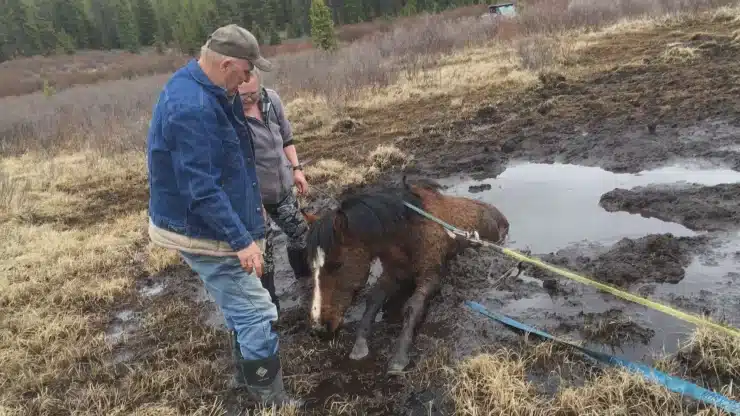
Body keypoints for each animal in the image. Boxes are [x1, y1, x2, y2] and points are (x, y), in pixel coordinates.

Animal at [301, 177, 510, 375]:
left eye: (337, 264)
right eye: (310, 266)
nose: (319, 329)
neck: (409, 232)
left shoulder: (431, 276)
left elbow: (413, 307)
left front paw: (399, 357)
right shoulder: (392, 275)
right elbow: (373, 301)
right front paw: (360, 346)